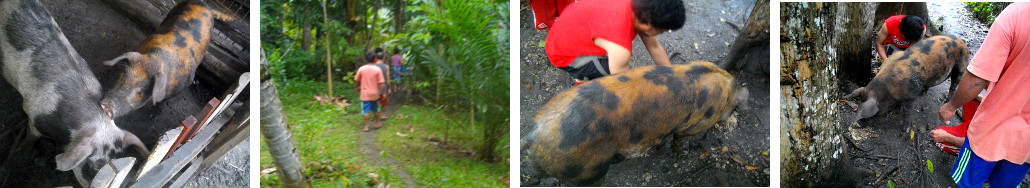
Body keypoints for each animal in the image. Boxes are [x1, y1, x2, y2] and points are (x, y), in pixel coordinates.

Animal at [99, 0, 233, 117]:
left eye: (142, 90)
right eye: (123, 75)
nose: (106, 105)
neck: (158, 59)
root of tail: (205, 4)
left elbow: (161, 102)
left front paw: (154, 114)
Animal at [523, 62, 749, 186]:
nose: (747, 95)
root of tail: (534, 133)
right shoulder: (694, 124)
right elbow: (678, 138)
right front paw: (681, 155)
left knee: (536, 177)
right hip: (585, 172)